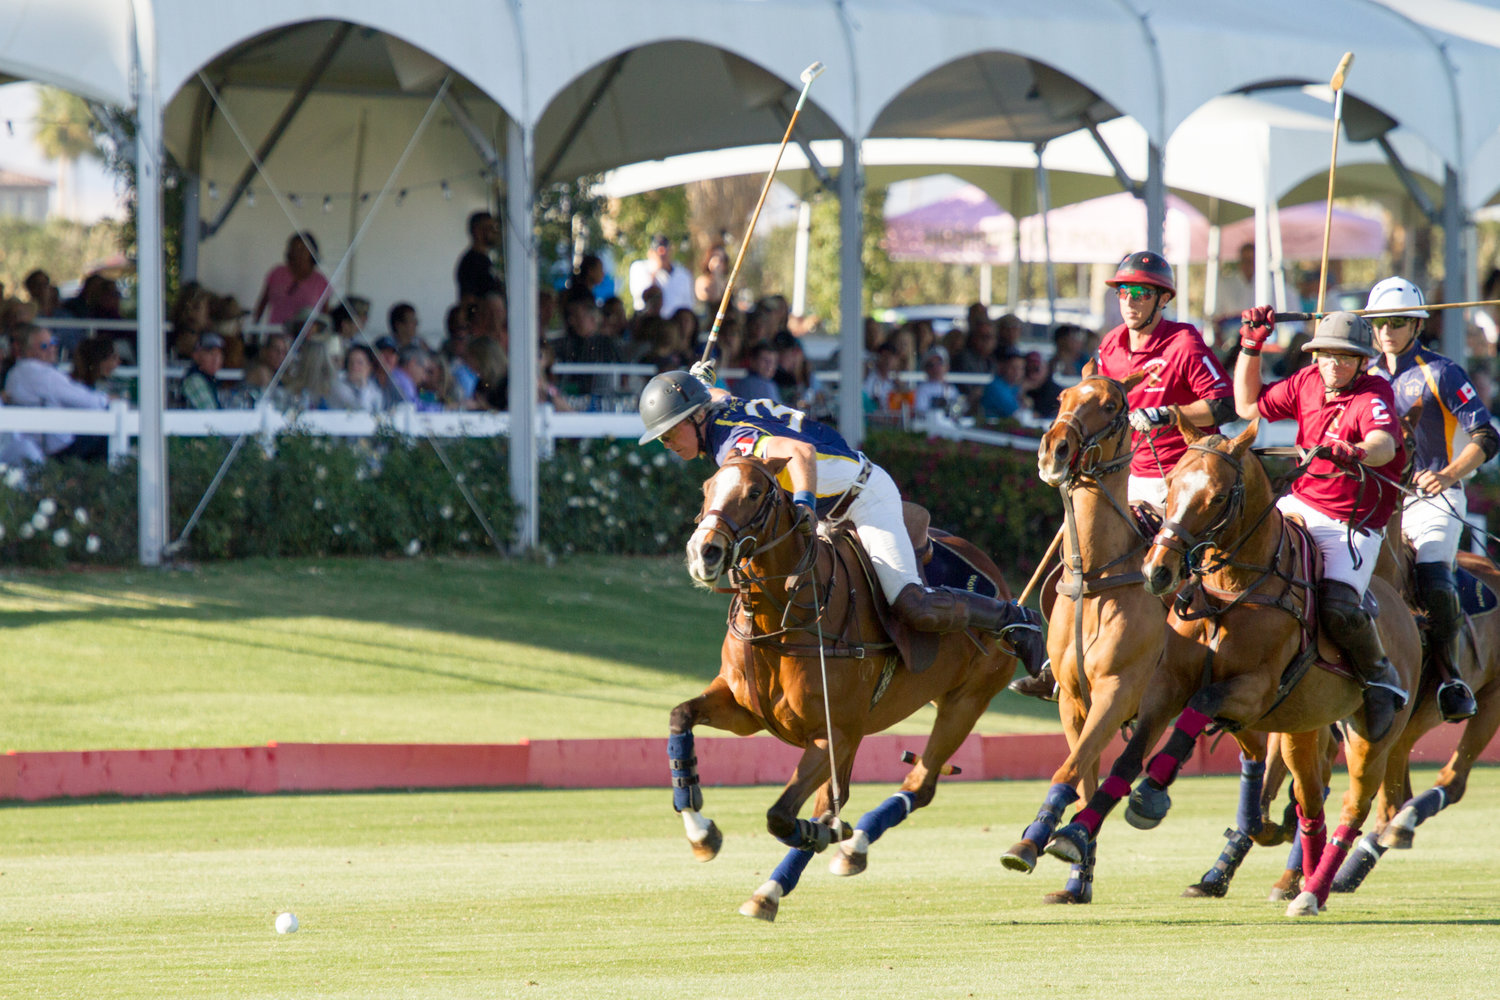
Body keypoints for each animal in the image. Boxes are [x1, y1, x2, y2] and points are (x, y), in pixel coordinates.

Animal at [675, 452, 1026, 923]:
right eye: (707, 487)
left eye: (754, 492)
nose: (704, 552)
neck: (784, 615)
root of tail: (996, 575)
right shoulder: (745, 711)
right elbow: (681, 716)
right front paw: (702, 834)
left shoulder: (832, 733)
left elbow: (785, 815)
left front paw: (819, 834)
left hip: (966, 701)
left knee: (920, 780)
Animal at [1008, 377, 1278, 905]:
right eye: (1063, 397)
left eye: (1112, 404)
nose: (1054, 450)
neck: (1097, 574)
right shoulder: (1073, 699)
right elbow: (1084, 774)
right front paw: (1077, 876)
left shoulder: (1118, 690)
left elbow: (1070, 769)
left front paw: (1031, 844)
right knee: (1257, 756)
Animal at [1044, 419, 1416, 917]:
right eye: (1171, 484)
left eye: (1219, 496)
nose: (1158, 572)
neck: (1229, 589)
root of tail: (1402, 607)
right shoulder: (1164, 686)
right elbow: (1126, 757)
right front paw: (1074, 832)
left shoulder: (1254, 691)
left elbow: (1202, 702)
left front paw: (1151, 793)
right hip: (1302, 726)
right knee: (1310, 802)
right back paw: (1300, 881)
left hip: (1370, 739)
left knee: (1353, 807)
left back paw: (1312, 892)